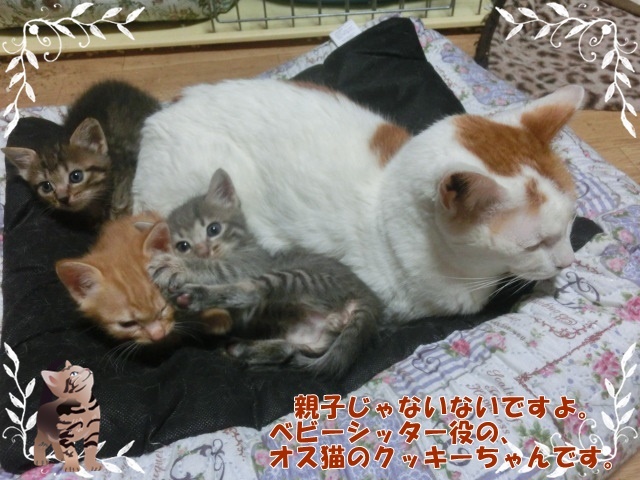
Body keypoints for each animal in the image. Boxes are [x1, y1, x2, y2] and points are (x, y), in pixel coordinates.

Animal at [149, 168, 381, 377]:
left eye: (213, 229)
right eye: (183, 246)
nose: (204, 252)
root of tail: (366, 296)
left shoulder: (250, 264)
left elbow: (217, 269)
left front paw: (178, 266)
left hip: (298, 278)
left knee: (251, 292)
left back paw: (195, 297)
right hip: (308, 335)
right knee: (289, 348)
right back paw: (242, 349)